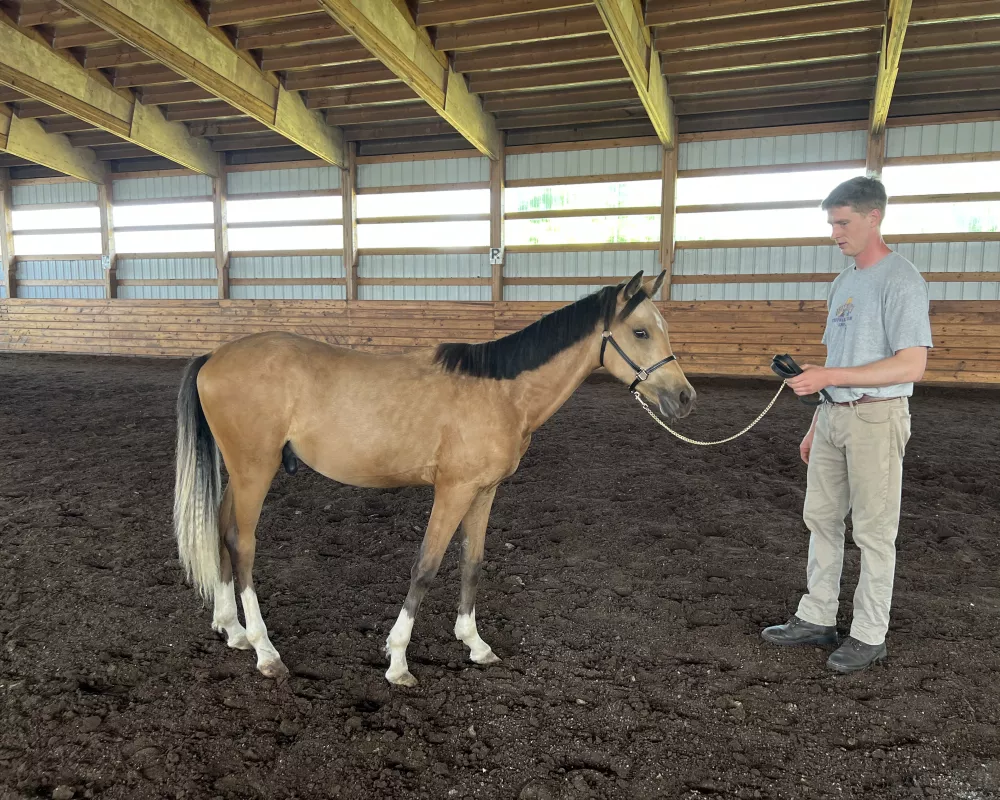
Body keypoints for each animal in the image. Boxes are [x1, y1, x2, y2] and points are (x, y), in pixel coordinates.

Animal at [174, 272, 696, 684]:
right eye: (641, 331)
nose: (685, 397)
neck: (502, 391)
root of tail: (213, 357)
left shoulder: (484, 492)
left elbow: (472, 563)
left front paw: (474, 643)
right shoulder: (453, 491)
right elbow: (425, 567)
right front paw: (397, 660)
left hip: (241, 473)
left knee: (221, 530)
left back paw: (234, 630)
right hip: (254, 470)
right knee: (243, 544)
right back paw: (265, 650)